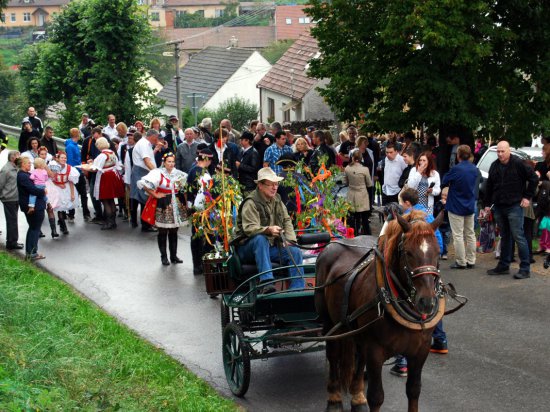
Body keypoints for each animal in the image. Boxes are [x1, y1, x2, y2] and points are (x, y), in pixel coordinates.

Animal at [316, 211, 446, 410]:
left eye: (438, 252)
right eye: (408, 252)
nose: (427, 301)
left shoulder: (420, 352)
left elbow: (414, 390)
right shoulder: (375, 352)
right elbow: (376, 397)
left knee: (359, 357)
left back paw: (357, 396)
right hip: (329, 322)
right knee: (333, 354)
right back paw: (334, 397)